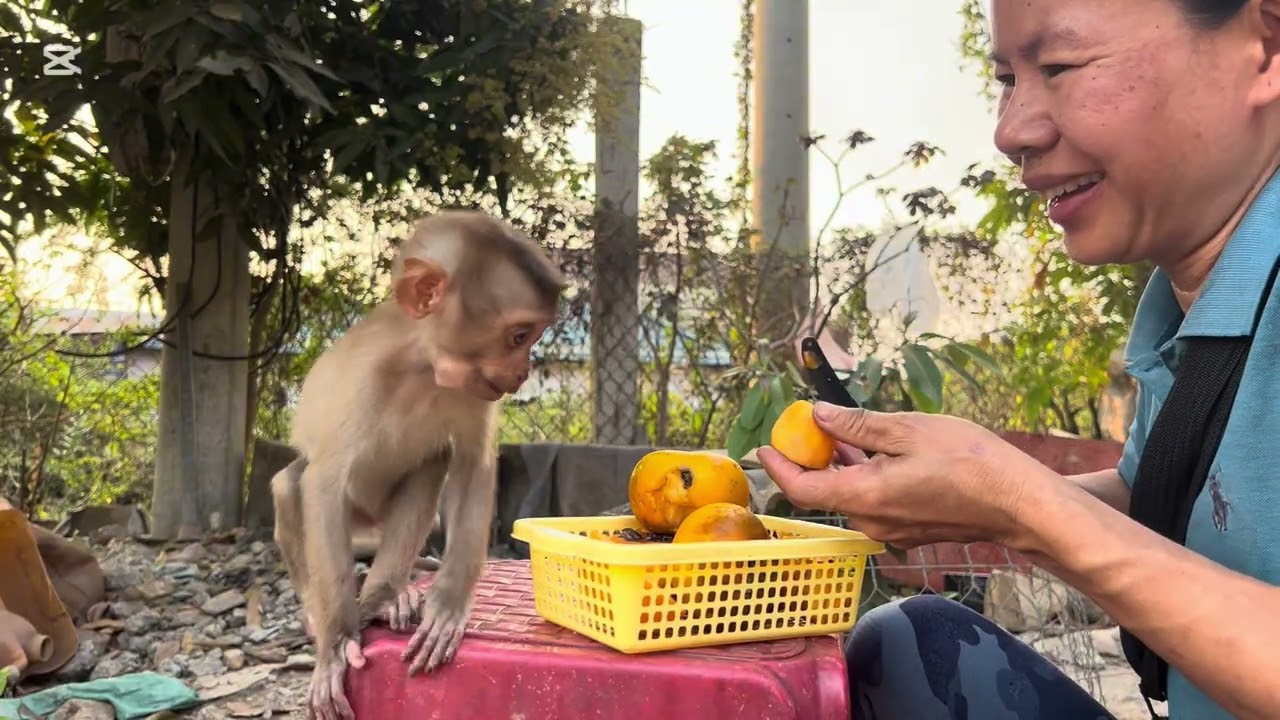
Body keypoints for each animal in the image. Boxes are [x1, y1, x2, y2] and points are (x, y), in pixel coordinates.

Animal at [270, 210, 565, 720]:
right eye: (519, 336)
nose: (525, 370)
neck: (422, 366)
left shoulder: (474, 391)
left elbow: (471, 464)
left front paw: (446, 606)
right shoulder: (362, 381)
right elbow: (323, 484)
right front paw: (335, 642)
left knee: (433, 460)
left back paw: (389, 594)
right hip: (355, 514)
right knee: (292, 484)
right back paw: (326, 612)